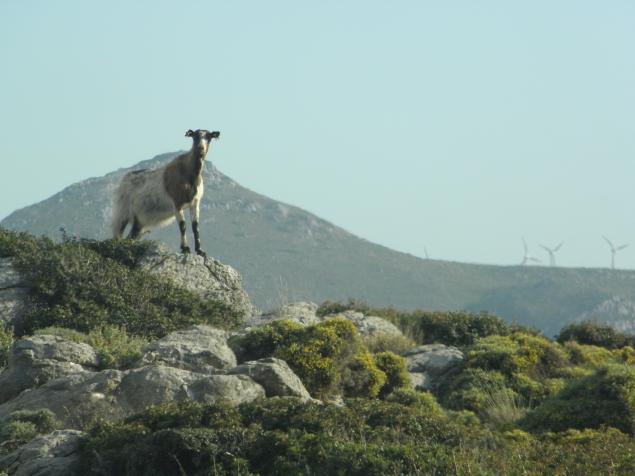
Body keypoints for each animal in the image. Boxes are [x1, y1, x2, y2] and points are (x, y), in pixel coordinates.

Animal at [109, 128, 219, 256]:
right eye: (194, 136)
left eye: (209, 137)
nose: (201, 148)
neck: (190, 175)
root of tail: (123, 180)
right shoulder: (177, 203)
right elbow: (183, 225)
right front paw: (185, 248)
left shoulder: (195, 203)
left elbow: (195, 227)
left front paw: (200, 250)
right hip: (122, 211)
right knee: (117, 232)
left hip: (139, 220)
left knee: (131, 235)